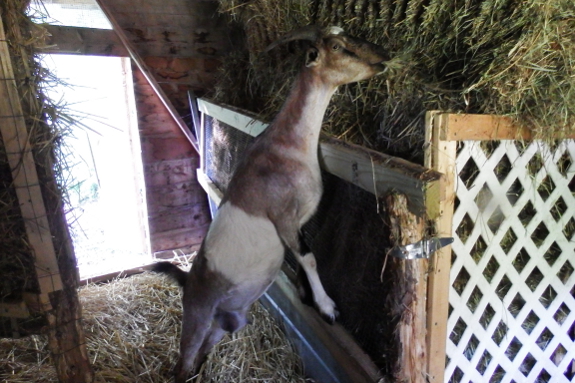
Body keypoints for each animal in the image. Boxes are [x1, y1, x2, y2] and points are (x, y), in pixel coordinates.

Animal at [153, 25, 390, 382]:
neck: (287, 146)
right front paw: (327, 307)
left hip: (225, 321)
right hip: (197, 315)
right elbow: (309, 258)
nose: (383, 57)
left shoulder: (300, 223)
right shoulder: (284, 217)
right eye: (337, 46)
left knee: (205, 350)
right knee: (183, 362)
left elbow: (302, 258)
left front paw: (307, 295)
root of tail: (188, 280)